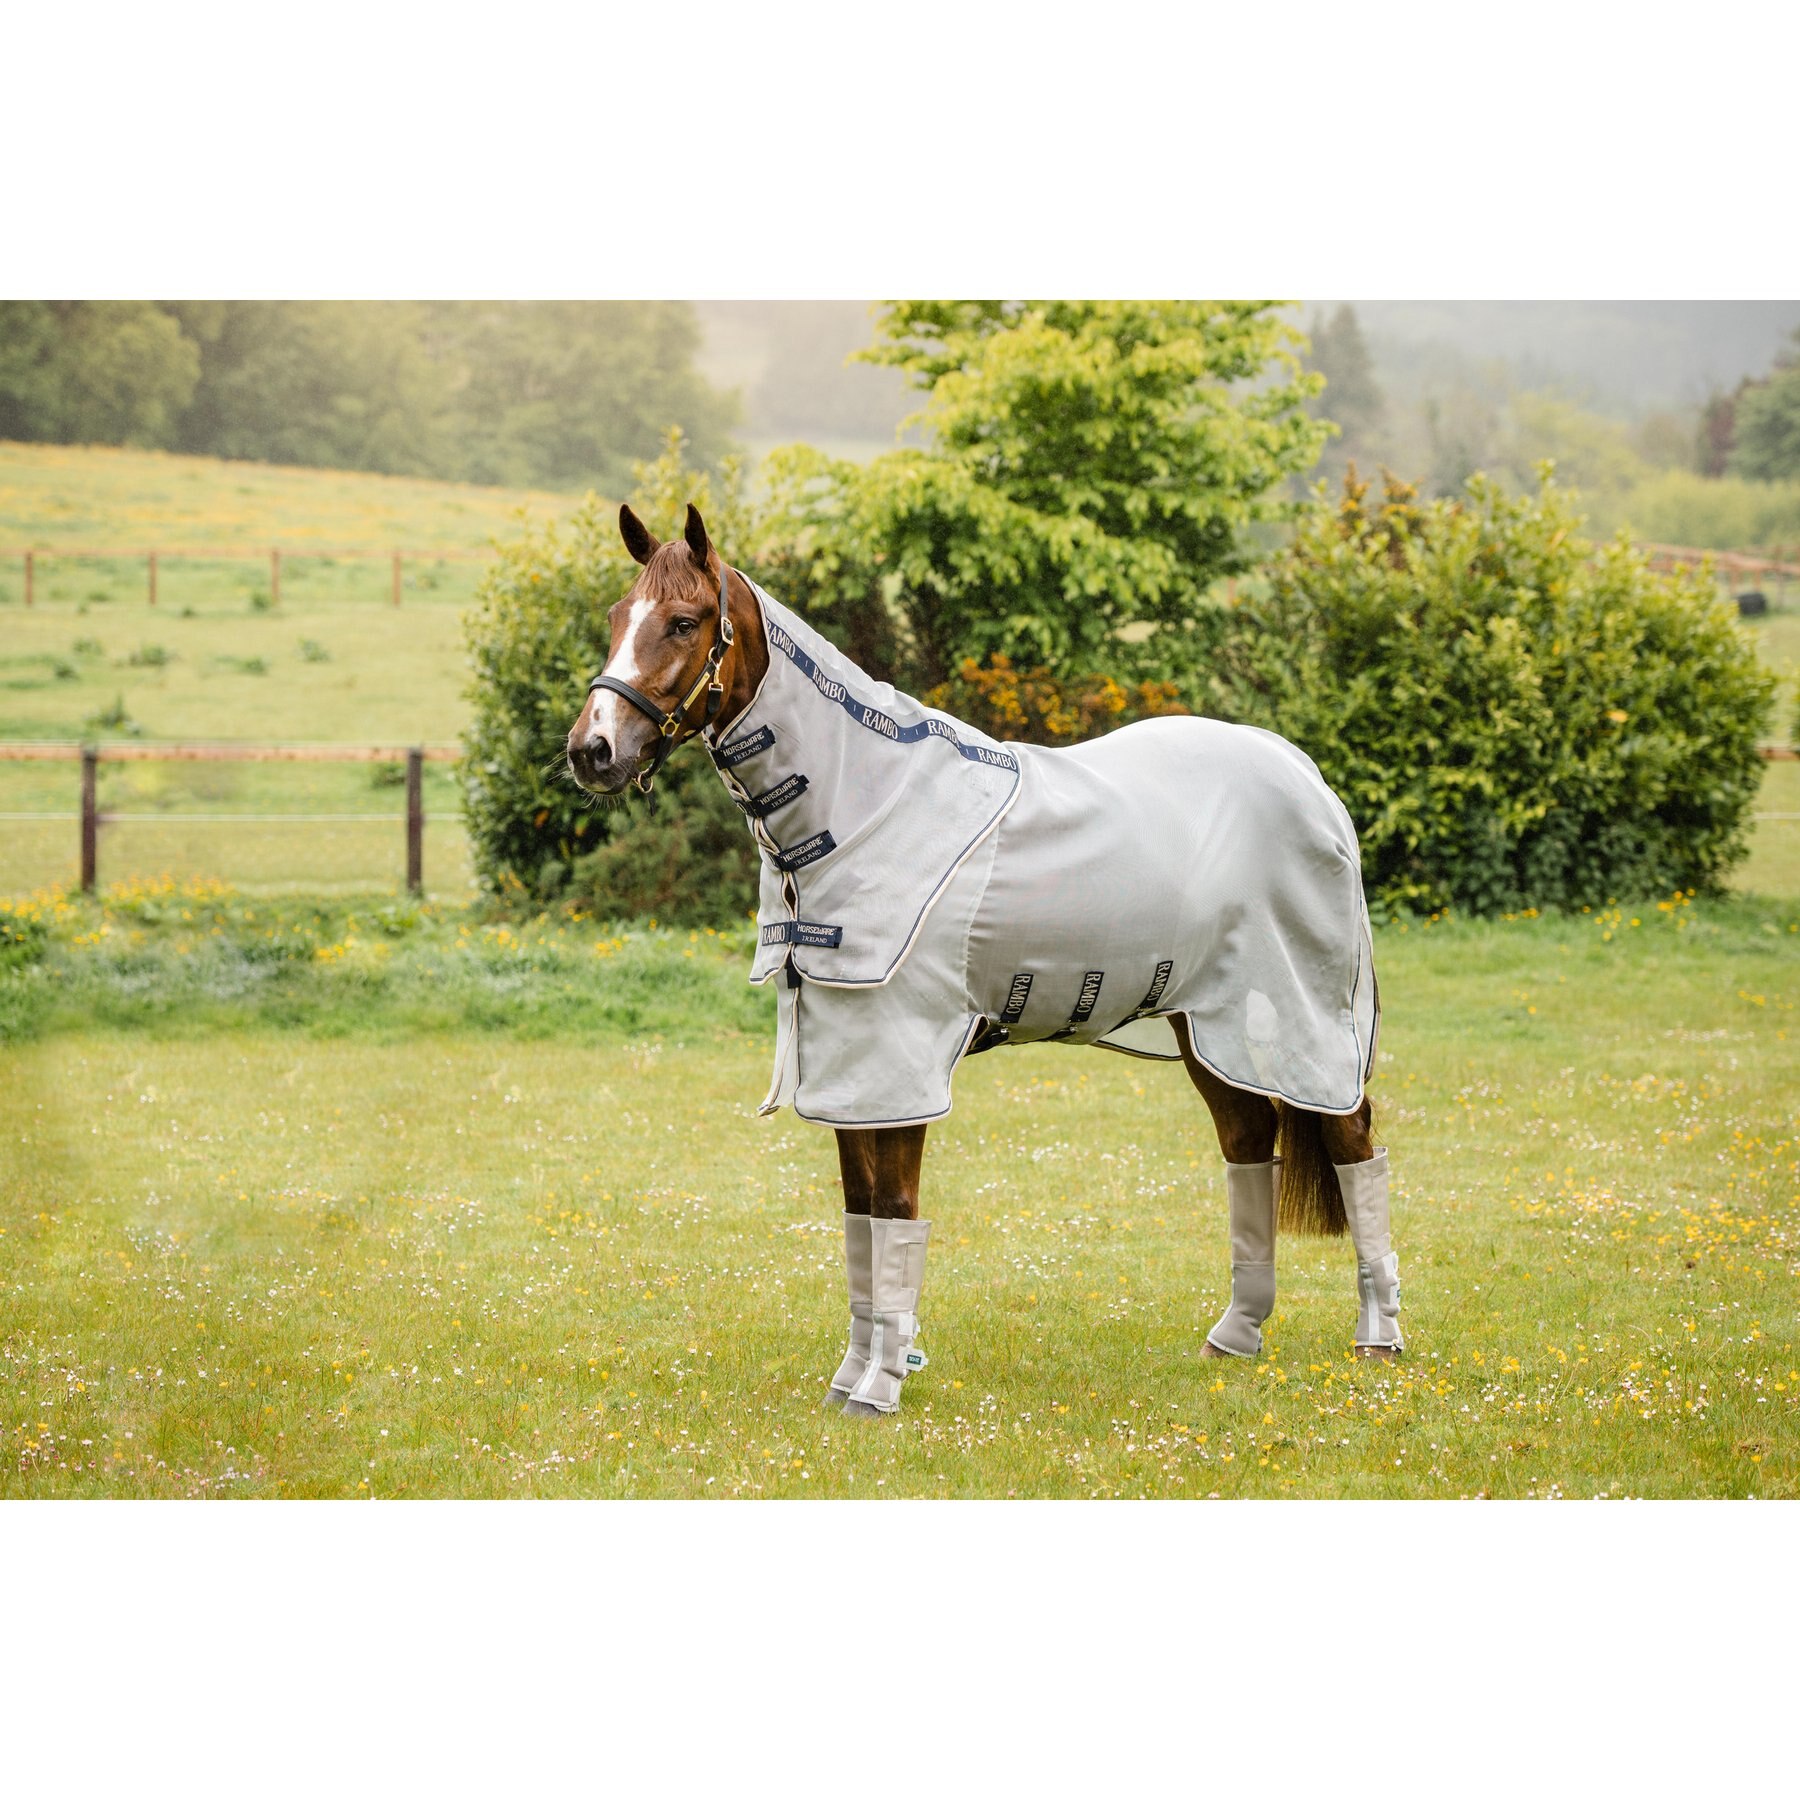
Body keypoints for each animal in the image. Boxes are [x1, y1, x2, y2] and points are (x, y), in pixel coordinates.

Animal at [567, 503, 1403, 1419]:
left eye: (683, 622)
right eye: (616, 616)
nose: (592, 750)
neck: (865, 806)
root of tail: (1304, 775)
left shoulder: (897, 1060)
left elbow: (896, 1212)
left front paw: (880, 1389)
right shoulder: (848, 1064)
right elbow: (860, 1220)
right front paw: (851, 1377)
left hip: (1302, 1015)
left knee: (1354, 1141)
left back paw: (1378, 1338)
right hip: (1207, 1025)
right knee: (1250, 1142)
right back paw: (1237, 1335)